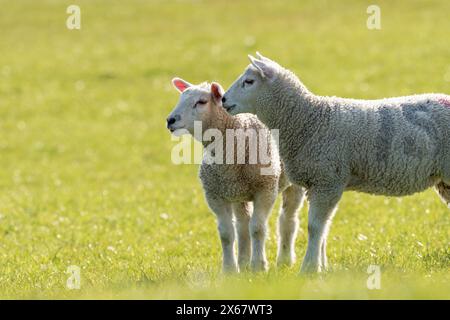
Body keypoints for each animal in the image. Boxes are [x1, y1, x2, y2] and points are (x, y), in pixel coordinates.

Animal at [166, 78, 306, 272]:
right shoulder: (215, 195)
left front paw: (259, 266)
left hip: (292, 184)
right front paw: (229, 270)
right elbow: (226, 233)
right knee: (242, 225)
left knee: (288, 219)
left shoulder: (266, 188)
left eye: (201, 101)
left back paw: (284, 260)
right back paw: (243, 262)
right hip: (237, 192)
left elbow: (258, 228)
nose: (170, 120)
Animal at [222, 52, 450, 272]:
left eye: (249, 81)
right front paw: (322, 267)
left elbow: (315, 227)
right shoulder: (319, 183)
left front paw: (309, 268)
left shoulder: (327, 180)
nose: (223, 99)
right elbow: (324, 228)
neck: (308, 119)